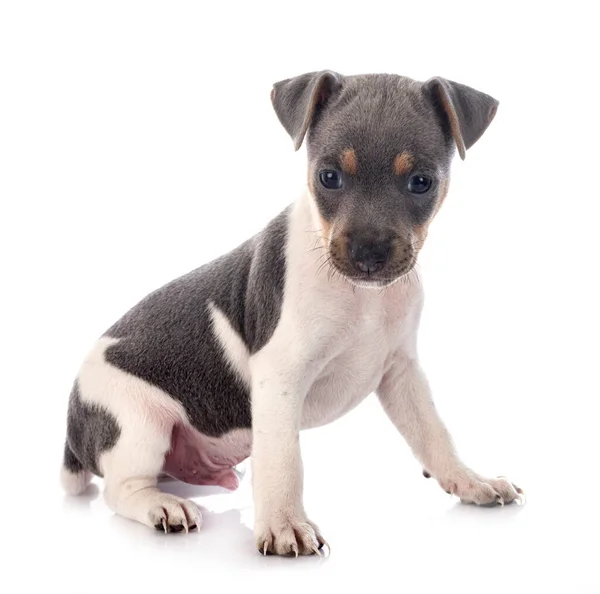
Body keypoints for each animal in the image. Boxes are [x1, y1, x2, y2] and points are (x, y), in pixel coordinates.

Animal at [59, 70, 520, 556]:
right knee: (122, 488)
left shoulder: (401, 372)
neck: (362, 297)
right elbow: (284, 460)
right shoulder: (280, 377)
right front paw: (284, 525)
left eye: (421, 182)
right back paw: (161, 507)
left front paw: (470, 480)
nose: (368, 254)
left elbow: (434, 433)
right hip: (137, 423)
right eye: (328, 177)